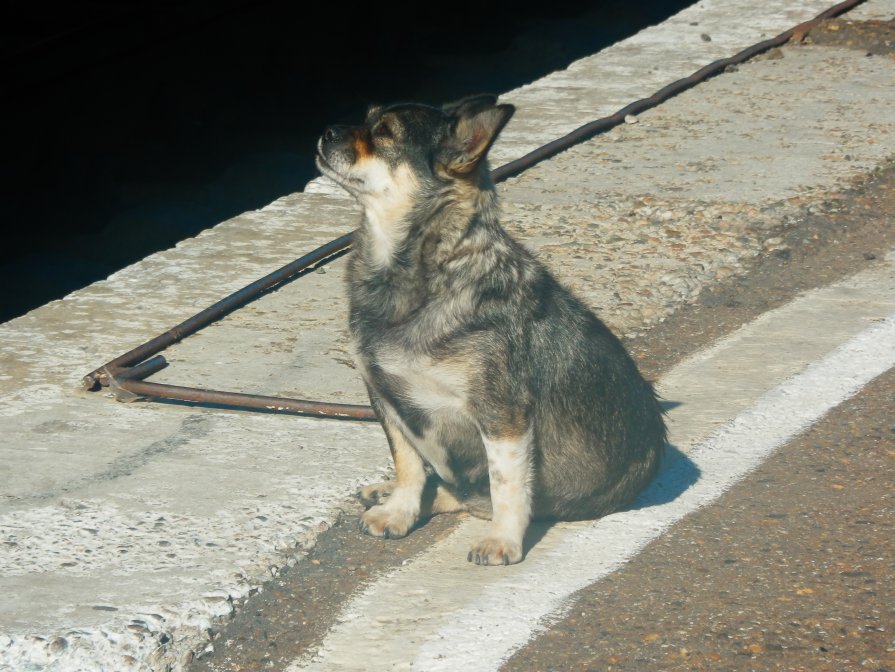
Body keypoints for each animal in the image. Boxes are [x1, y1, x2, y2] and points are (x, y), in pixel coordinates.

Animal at [316, 93, 664, 568]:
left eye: (385, 133)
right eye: (366, 117)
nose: (327, 129)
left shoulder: (502, 417)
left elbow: (506, 485)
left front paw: (503, 539)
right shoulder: (386, 399)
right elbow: (407, 462)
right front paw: (399, 509)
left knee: (471, 494)